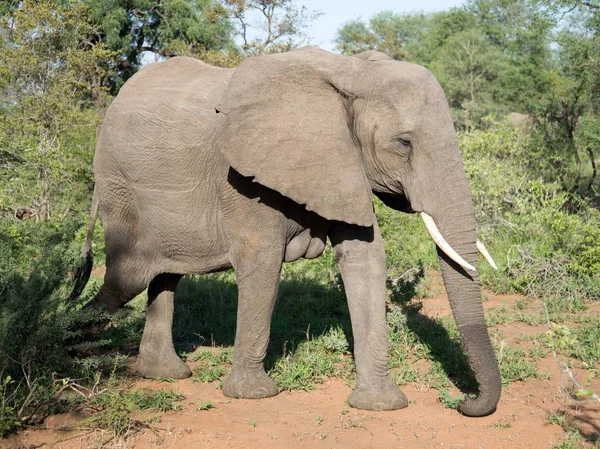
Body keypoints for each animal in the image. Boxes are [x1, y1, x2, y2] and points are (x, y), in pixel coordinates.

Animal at [74, 46, 502, 416]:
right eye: (404, 143)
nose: (464, 403)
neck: (352, 73)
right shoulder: (244, 178)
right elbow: (262, 262)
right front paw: (253, 395)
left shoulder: (341, 164)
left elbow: (365, 259)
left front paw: (381, 405)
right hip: (121, 188)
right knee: (126, 278)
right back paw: (73, 349)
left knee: (164, 278)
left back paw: (165, 374)